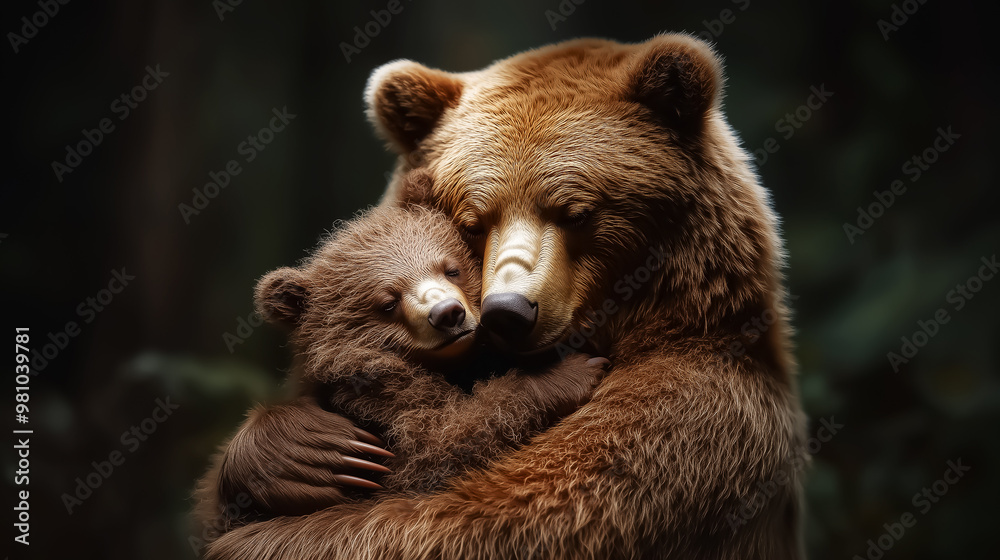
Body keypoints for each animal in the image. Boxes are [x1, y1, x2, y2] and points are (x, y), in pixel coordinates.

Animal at [193, 170, 609, 537]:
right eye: (387, 302)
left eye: (451, 269)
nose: (448, 313)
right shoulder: (373, 399)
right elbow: (431, 446)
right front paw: (566, 372)